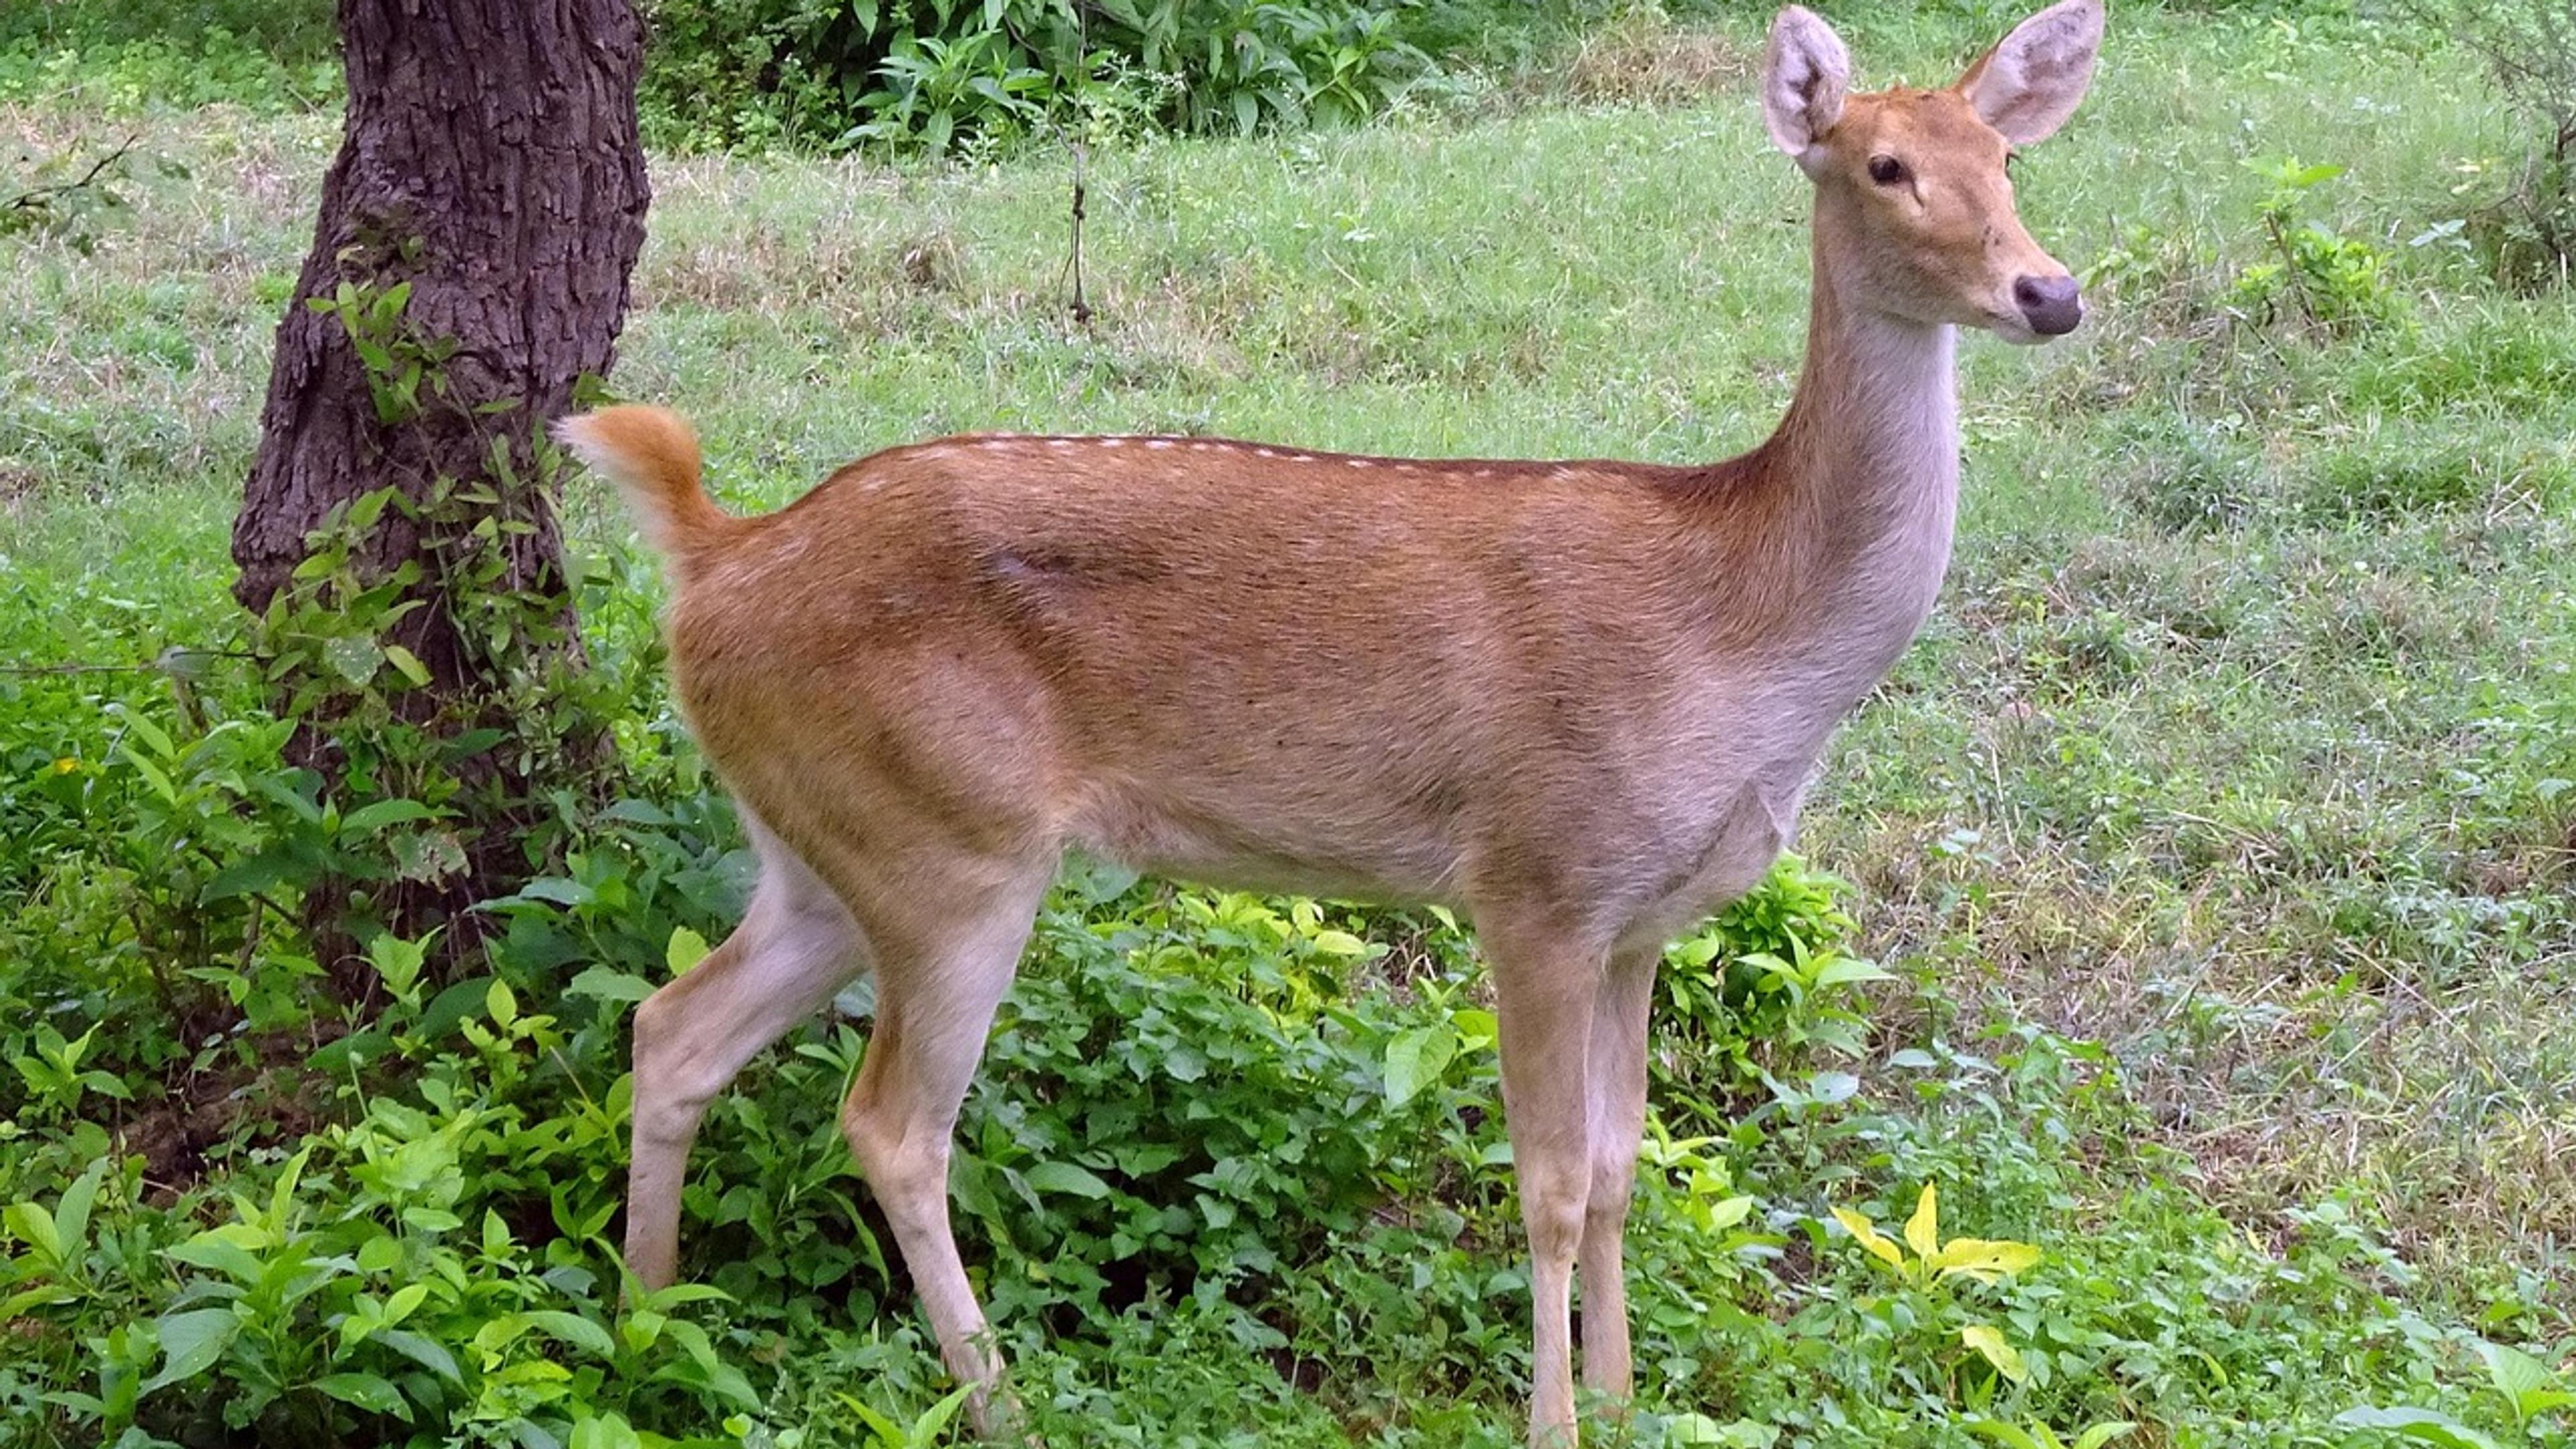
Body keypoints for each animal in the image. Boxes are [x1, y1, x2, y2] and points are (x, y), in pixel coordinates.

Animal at [555, 2, 2101, 1441]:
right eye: (1886, 164)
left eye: (2009, 157)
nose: (2052, 288)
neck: (1743, 639)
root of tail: (714, 560)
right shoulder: (1534, 878)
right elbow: (1548, 1183)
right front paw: (1556, 1420)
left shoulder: (1643, 920)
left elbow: (1620, 1169)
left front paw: (1624, 1397)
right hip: (952, 841)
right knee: (890, 1126)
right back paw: (997, 1401)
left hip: (829, 841)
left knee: (674, 1027)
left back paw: (645, 1323)